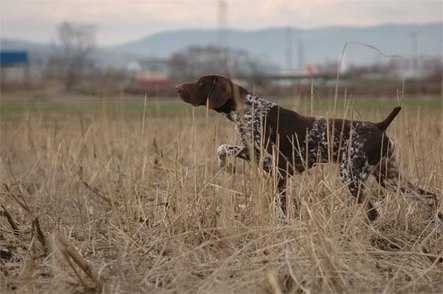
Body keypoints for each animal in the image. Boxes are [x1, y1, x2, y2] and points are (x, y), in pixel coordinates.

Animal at [177, 74, 440, 222]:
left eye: (200, 83)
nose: (177, 88)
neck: (248, 110)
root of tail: (379, 125)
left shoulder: (278, 170)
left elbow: (282, 209)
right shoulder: (256, 155)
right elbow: (222, 148)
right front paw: (225, 166)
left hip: (352, 176)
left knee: (373, 213)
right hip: (390, 177)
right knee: (431, 198)